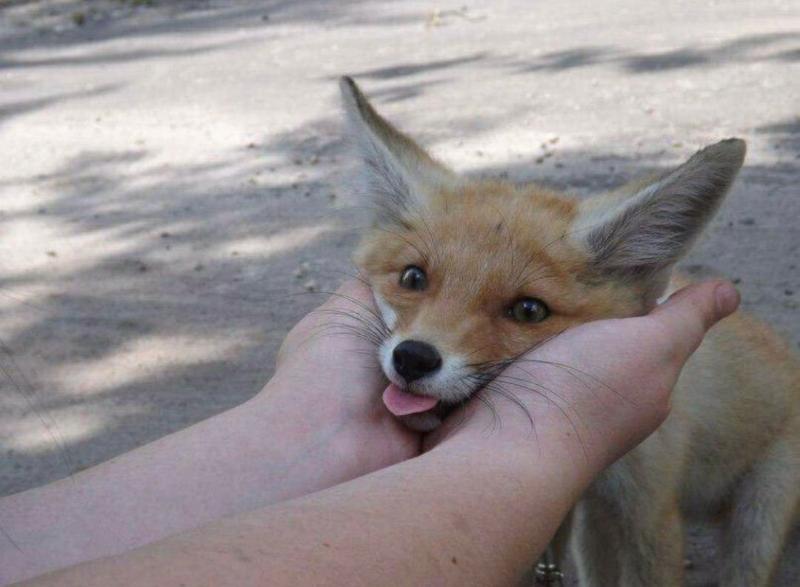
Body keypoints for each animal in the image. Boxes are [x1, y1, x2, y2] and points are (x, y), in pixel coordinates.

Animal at [338, 76, 799, 586]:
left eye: (528, 310)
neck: (592, 465)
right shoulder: (577, 513)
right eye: (413, 278)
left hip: (758, 521)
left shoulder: (648, 513)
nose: (413, 358)